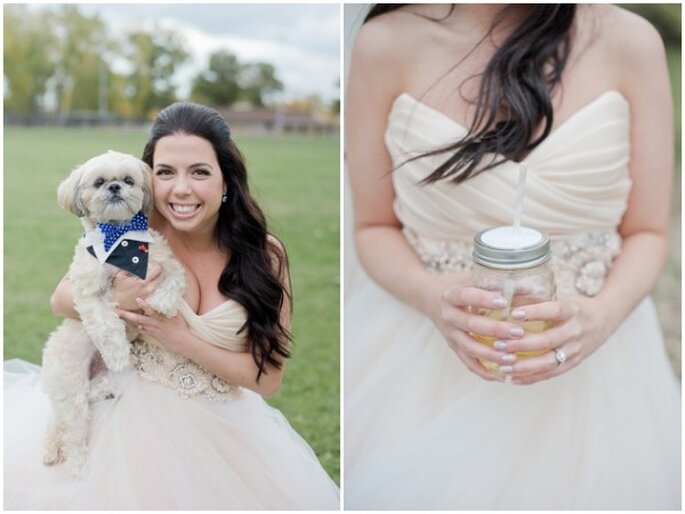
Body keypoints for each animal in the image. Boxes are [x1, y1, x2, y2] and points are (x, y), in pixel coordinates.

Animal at [43, 149, 187, 472]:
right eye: (99, 182)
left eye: (129, 180)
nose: (114, 187)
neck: (120, 237)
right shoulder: (88, 291)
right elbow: (106, 324)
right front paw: (118, 352)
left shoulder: (163, 261)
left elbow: (175, 280)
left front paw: (162, 304)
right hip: (70, 382)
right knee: (71, 426)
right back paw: (77, 465)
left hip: (94, 377)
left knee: (88, 396)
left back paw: (105, 391)